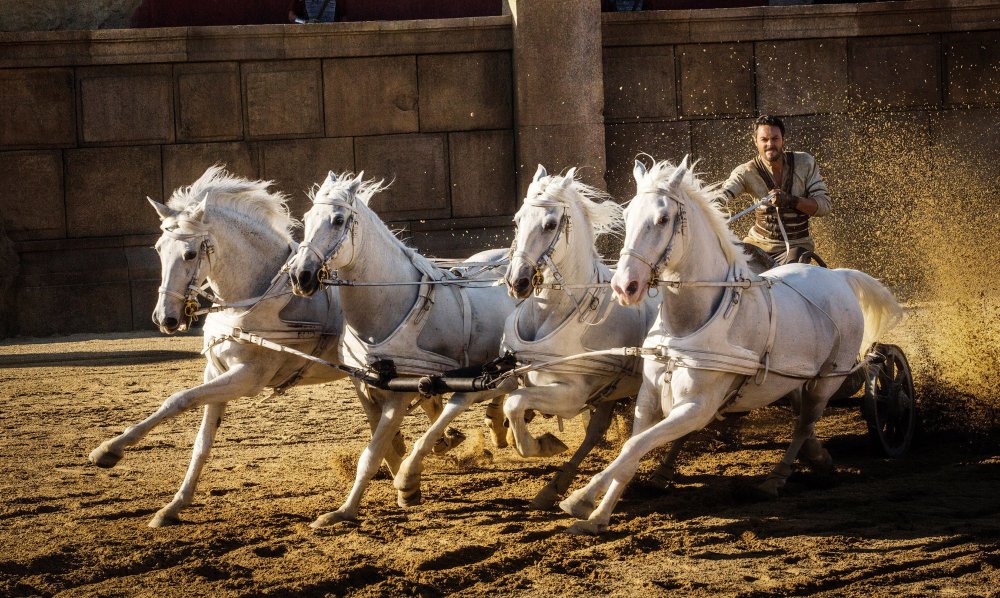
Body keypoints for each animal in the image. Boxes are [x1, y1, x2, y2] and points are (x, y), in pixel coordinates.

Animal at [88, 166, 382, 528]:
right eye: (158, 248)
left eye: (190, 253)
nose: (164, 318)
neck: (255, 298)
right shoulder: (216, 370)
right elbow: (202, 441)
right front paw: (174, 505)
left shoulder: (247, 377)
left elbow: (178, 399)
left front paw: (109, 450)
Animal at [282, 171, 516, 528]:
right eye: (307, 218)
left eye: (338, 220)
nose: (300, 275)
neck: (391, 302)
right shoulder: (365, 387)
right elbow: (382, 447)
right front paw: (351, 506)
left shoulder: (399, 392)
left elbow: (372, 453)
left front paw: (358, 506)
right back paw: (495, 426)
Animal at [560, 158, 904, 536]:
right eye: (629, 214)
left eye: (663, 219)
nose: (625, 286)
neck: (687, 325)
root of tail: (839, 275)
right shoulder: (649, 398)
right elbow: (629, 451)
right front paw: (597, 515)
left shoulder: (697, 407)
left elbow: (636, 445)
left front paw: (579, 498)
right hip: (794, 380)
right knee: (802, 420)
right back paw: (816, 460)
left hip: (826, 380)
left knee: (804, 424)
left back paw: (777, 478)